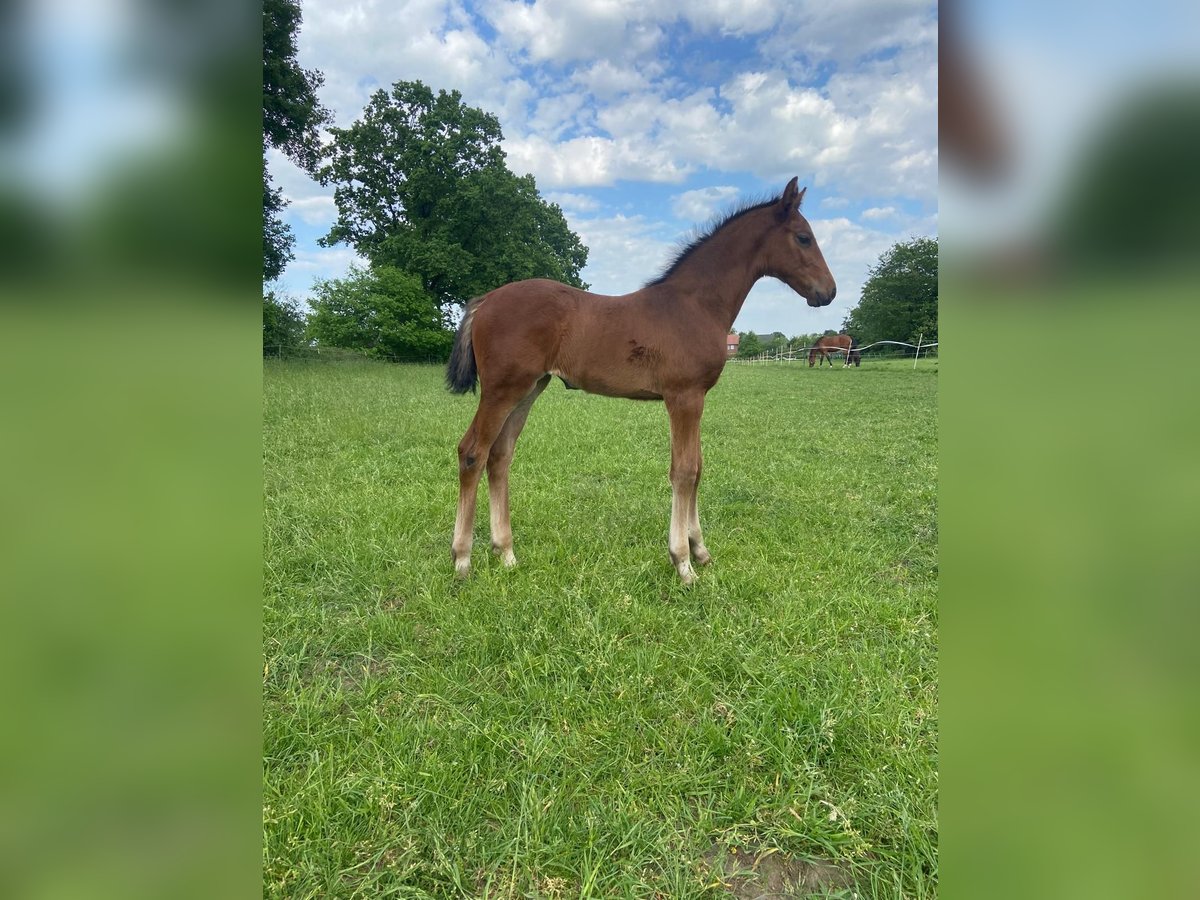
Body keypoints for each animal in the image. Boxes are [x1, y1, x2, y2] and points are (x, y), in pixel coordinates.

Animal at [448, 177, 835, 585]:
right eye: (804, 237)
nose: (829, 291)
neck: (695, 305)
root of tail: (486, 300)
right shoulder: (684, 397)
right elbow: (684, 471)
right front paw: (682, 562)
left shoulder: (696, 398)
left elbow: (698, 467)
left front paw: (700, 550)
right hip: (501, 390)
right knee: (472, 452)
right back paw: (462, 559)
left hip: (528, 389)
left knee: (500, 456)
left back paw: (506, 553)